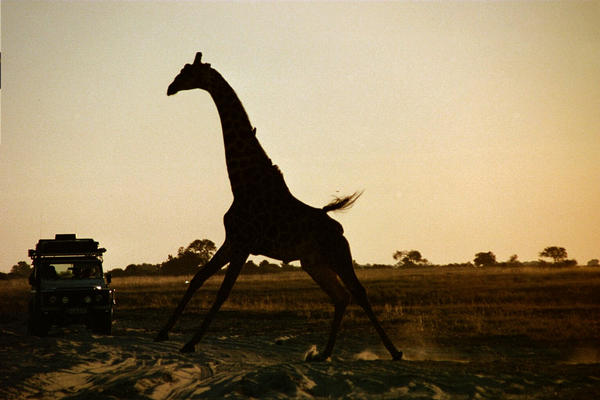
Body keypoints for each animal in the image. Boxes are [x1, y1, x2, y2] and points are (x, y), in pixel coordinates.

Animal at [155, 51, 400, 360]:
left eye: (188, 72)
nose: (170, 88)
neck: (243, 183)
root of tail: (339, 229)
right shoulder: (232, 240)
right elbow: (198, 277)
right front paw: (162, 333)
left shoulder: (244, 243)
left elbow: (223, 292)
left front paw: (190, 343)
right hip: (313, 262)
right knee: (341, 296)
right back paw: (323, 354)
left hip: (338, 254)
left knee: (358, 292)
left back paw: (395, 351)